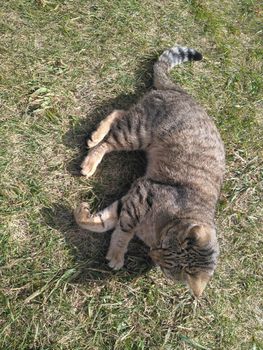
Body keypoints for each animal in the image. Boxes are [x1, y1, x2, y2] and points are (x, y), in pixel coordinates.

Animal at [73, 45, 225, 298]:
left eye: (165, 265)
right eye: (163, 248)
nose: (152, 254)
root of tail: (182, 92)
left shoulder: (130, 198)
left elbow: (104, 220)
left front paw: (84, 216)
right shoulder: (141, 195)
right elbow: (122, 232)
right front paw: (116, 254)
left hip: (137, 127)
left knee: (119, 111)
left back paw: (95, 136)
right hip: (137, 132)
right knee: (110, 137)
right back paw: (92, 156)